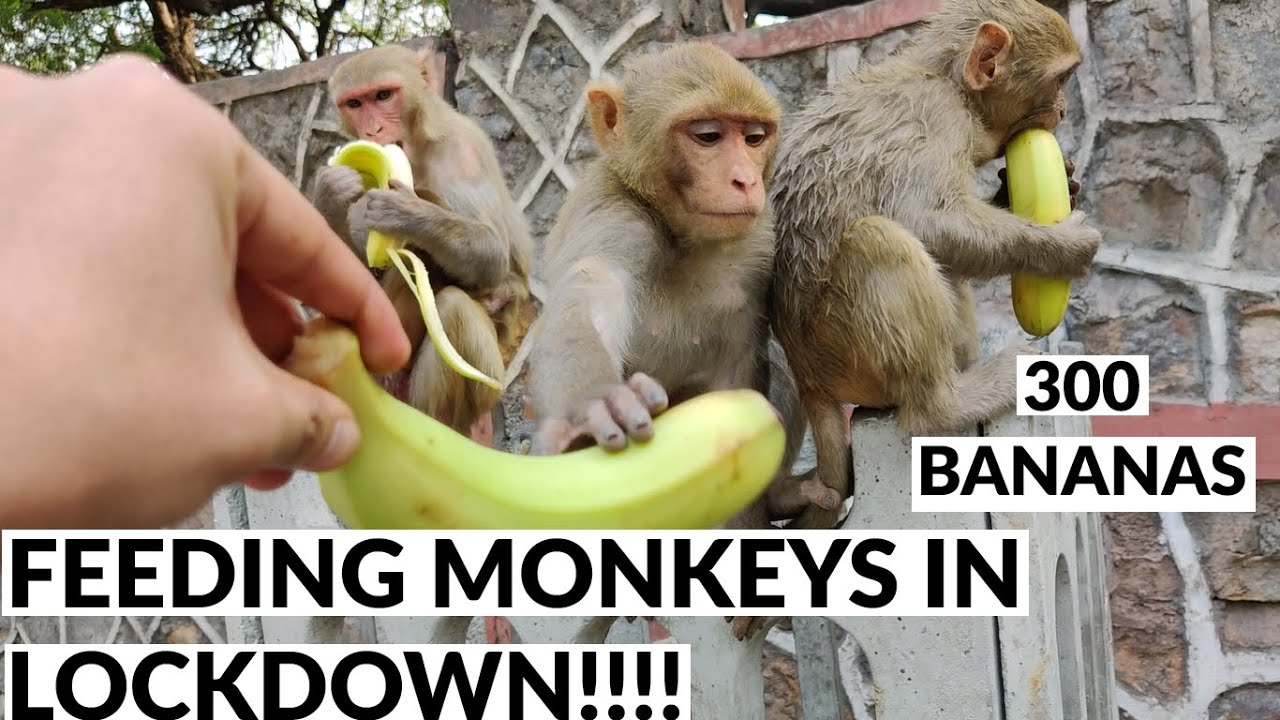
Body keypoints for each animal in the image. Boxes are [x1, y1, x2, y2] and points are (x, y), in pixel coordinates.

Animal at [310, 44, 536, 440]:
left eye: (383, 96)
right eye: (354, 103)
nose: (373, 129)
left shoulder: (460, 154)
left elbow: (493, 255)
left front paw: (408, 212)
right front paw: (329, 193)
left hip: (486, 387)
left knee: (454, 306)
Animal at [766, 0, 1103, 529]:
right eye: (1061, 80)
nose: (1066, 110)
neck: (949, 82)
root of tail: (807, 375)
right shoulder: (940, 118)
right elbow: (923, 219)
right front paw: (1063, 247)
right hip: (844, 354)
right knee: (879, 240)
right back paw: (945, 406)